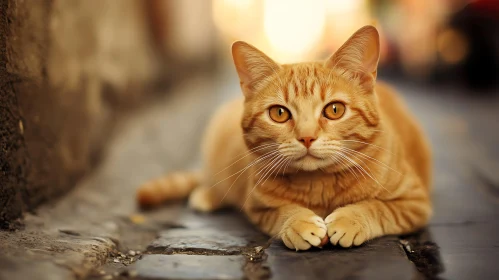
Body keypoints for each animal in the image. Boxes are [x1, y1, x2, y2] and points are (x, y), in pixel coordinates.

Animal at [138, 26, 434, 249]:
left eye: (334, 110)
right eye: (279, 113)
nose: (307, 137)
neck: (320, 185)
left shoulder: (415, 203)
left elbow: (377, 208)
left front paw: (349, 220)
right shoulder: (257, 208)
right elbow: (282, 212)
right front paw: (299, 223)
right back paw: (207, 195)